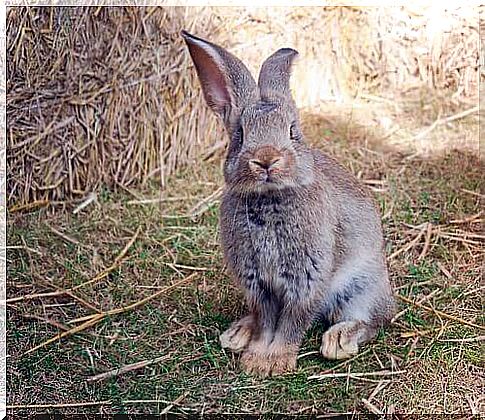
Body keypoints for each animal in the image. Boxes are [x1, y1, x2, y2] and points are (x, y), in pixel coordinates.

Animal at [181, 30, 394, 378]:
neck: (271, 198)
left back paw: (338, 341)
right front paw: (256, 360)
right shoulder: (257, 283)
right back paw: (237, 334)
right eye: (239, 135)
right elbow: (267, 322)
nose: (267, 159)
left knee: (373, 319)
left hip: (363, 287)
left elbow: (292, 323)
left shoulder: (307, 279)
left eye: (293, 131)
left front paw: (276, 361)